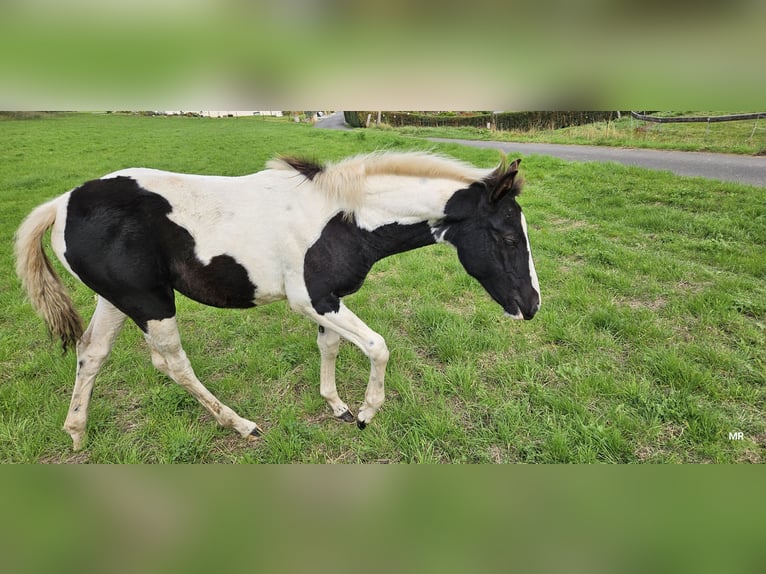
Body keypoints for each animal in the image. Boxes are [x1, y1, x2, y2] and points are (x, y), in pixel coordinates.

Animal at [15, 150, 540, 451]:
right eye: (509, 237)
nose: (531, 305)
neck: (344, 217)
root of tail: (60, 204)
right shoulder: (311, 298)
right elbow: (377, 346)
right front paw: (366, 413)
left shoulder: (328, 299)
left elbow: (330, 346)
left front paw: (338, 406)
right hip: (150, 303)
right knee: (172, 363)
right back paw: (241, 425)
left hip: (118, 300)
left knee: (91, 352)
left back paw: (77, 433)